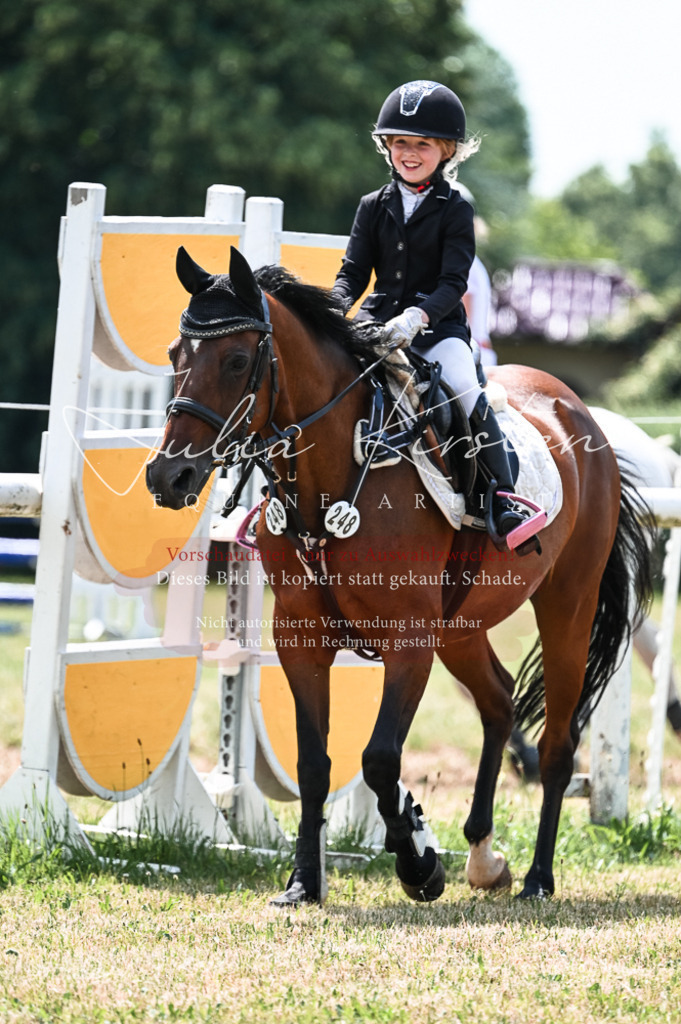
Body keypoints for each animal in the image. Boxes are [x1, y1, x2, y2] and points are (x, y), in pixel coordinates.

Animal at [146, 246, 652, 903]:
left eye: (235, 360)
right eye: (175, 355)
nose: (167, 476)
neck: (335, 472)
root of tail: (579, 412)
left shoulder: (409, 640)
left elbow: (380, 759)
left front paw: (418, 861)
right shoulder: (302, 641)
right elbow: (315, 765)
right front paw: (305, 881)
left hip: (567, 605)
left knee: (558, 745)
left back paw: (537, 878)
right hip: (461, 626)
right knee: (498, 702)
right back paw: (484, 856)